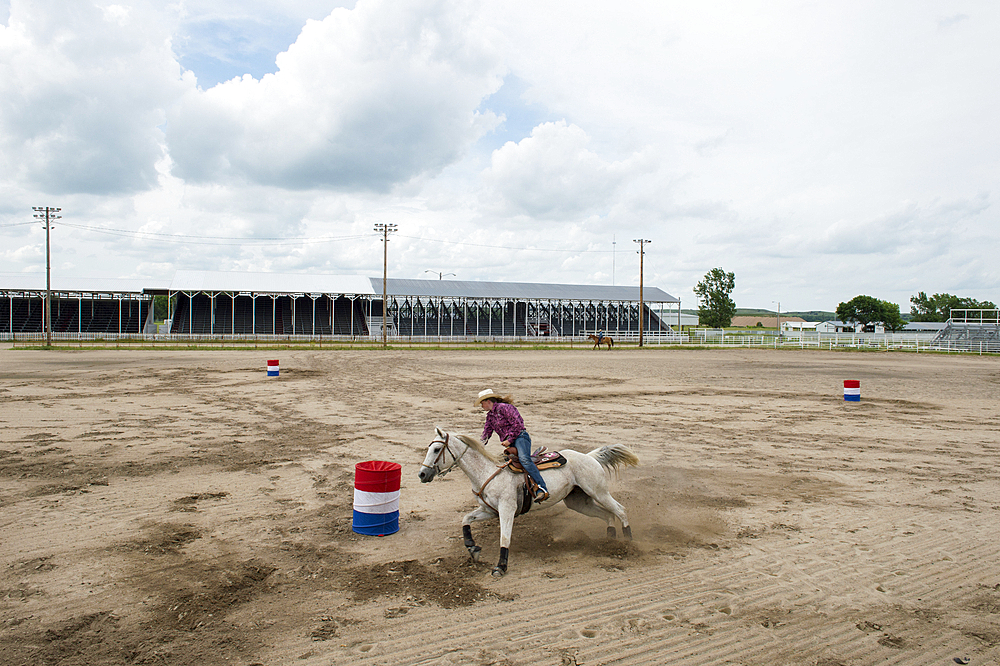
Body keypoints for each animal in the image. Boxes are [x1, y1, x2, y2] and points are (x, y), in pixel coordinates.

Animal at [416, 428, 636, 572]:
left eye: (436, 450)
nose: (422, 474)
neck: (487, 472)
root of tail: (589, 456)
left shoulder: (507, 510)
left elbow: (505, 538)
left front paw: (501, 567)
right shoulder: (489, 511)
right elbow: (466, 520)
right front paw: (472, 548)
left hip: (599, 491)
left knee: (621, 510)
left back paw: (628, 540)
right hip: (579, 502)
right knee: (607, 514)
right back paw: (610, 540)